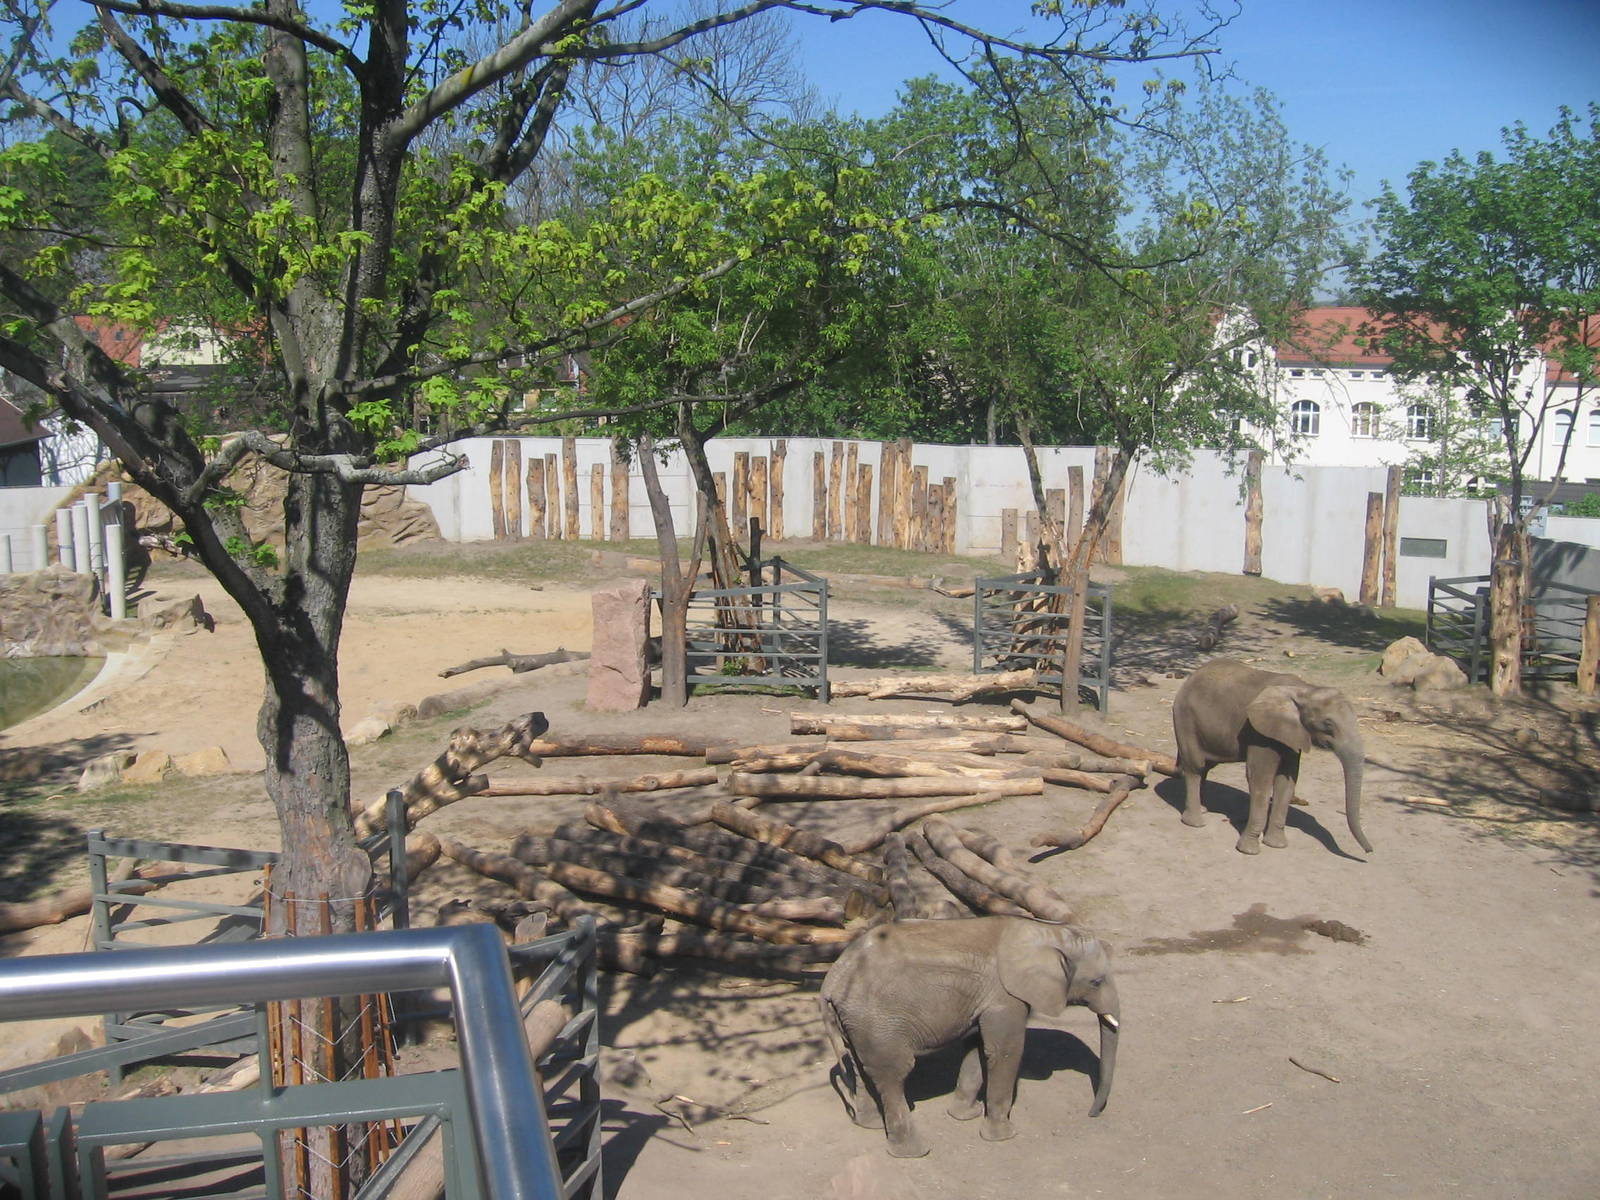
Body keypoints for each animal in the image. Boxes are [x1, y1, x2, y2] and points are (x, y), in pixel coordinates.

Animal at [818, 916, 1120, 1158]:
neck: (1046, 931)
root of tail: (831, 981)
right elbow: (1005, 1052)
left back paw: (869, 1124)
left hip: (855, 1022)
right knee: (893, 1074)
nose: (1092, 1113)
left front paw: (965, 1116)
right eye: (1096, 982)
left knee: (859, 1065)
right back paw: (914, 1152)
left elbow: (977, 1046)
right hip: (877, 1021)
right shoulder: (1006, 997)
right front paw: (1003, 1136)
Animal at [1171, 657, 1372, 856]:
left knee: (1205, 767)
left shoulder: (1290, 735)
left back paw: (1203, 809)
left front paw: (1277, 845)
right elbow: (1260, 778)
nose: (1369, 851)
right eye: (1328, 724)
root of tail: (1189, 678)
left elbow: (1287, 779)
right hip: (1185, 719)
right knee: (1195, 766)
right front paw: (1249, 850)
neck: (1305, 689)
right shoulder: (1259, 732)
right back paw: (1195, 822)